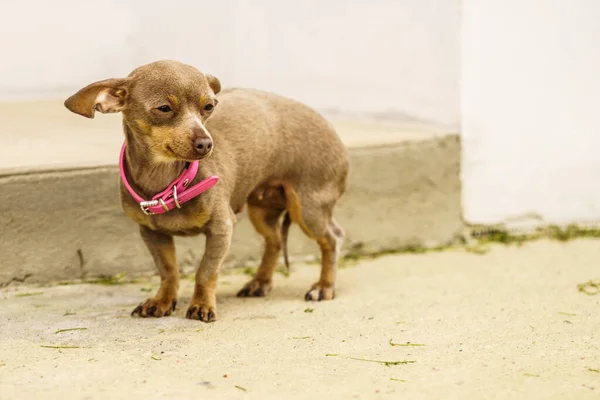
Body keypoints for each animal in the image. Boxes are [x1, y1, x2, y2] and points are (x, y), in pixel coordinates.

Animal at [63, 60, 350, 322]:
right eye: (164, 108)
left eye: (209, 106)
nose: (205, 143)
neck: (169, 178)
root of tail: (330, 127)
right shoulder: (152, 233)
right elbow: (168, 270)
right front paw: (163, 300)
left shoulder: (221, 228)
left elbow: (206, 271)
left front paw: (201, 305)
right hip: (262, 210)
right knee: (275, 241)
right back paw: (260, 282)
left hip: (309, 208)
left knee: (332, 238)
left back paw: (324, 287)